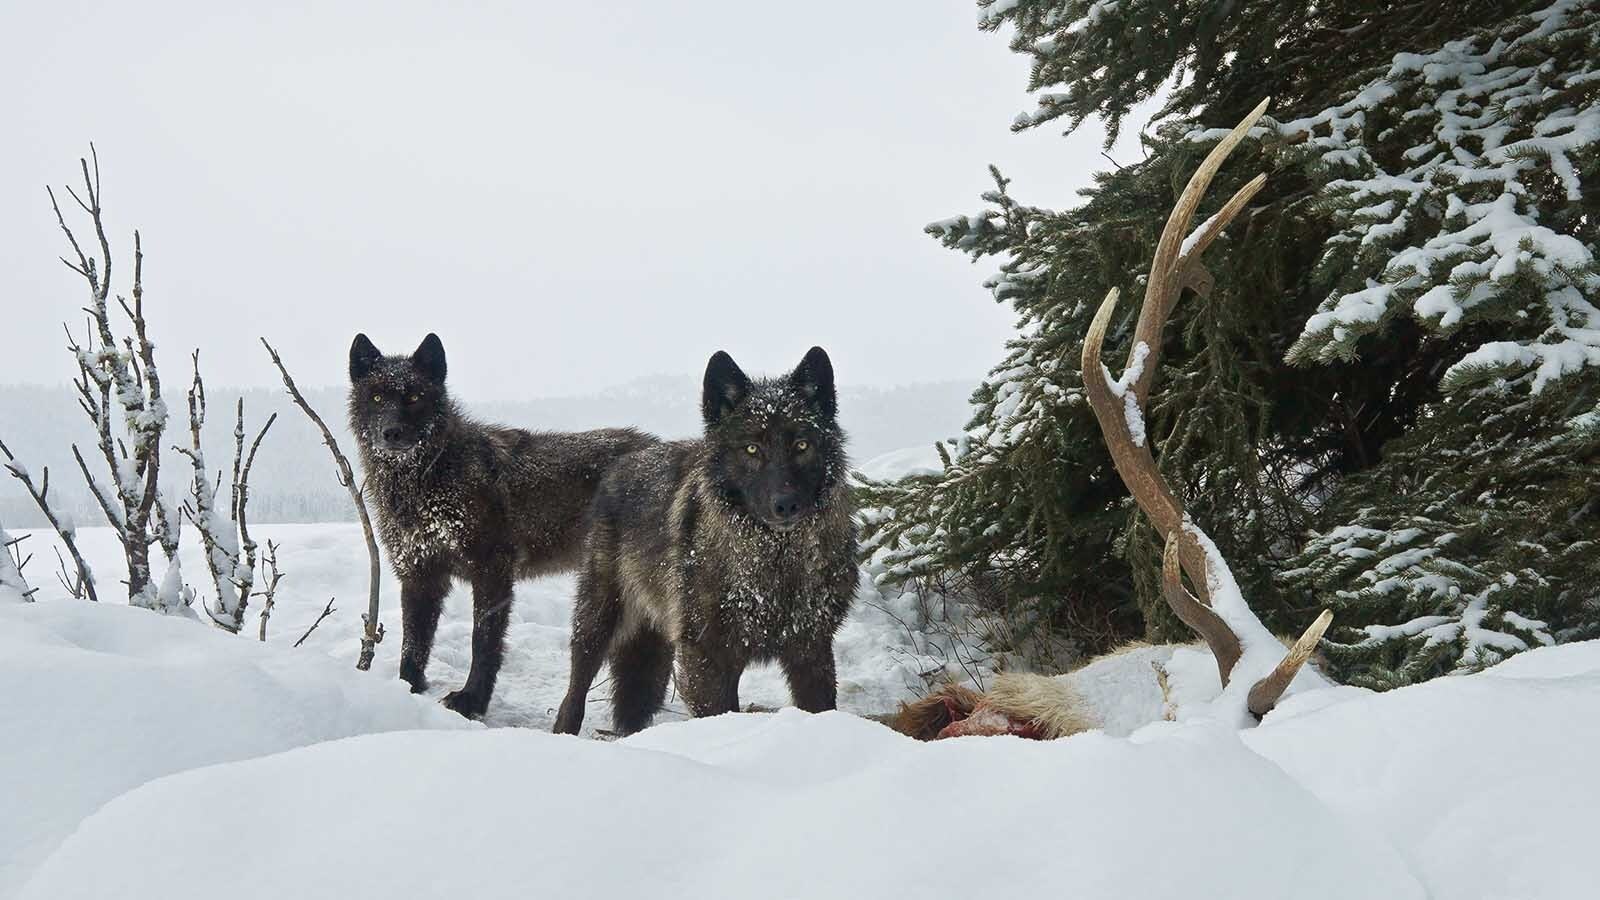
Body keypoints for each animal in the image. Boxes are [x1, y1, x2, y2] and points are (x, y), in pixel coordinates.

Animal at [348, 333, 656, 718]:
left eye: (414, 397)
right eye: (376, 397)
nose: (392, 433)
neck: (431, 475)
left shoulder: (491, 573)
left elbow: (483, 644)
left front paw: (471, 700)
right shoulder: (420, 575)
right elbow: (413, 643)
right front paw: (407, 690)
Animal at [552, 346, 859, 736]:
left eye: (802, 445)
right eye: (752, 449)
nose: (786, 504)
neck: (772, 562)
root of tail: (622, 463)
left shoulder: (811, 649)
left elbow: (820, 707)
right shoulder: (706, 655)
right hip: (598, 619)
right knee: (576, 686)